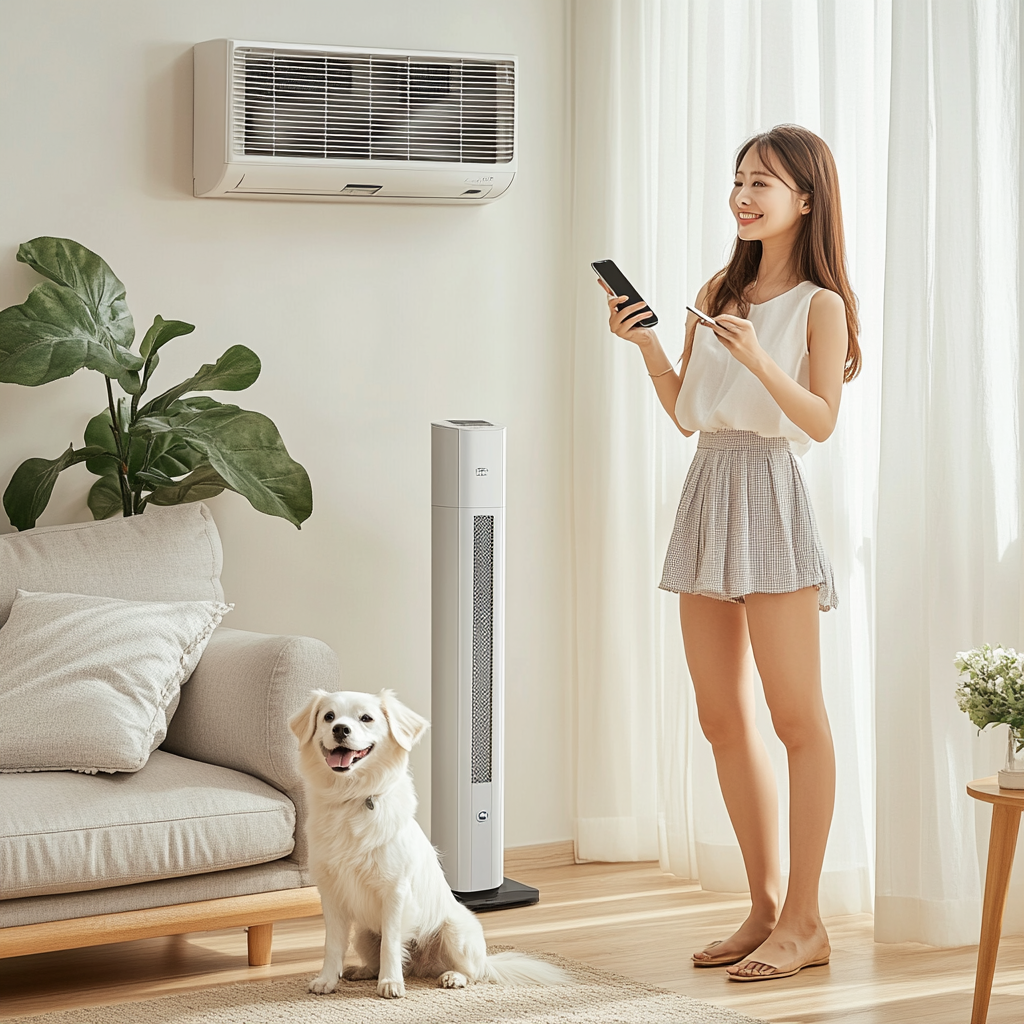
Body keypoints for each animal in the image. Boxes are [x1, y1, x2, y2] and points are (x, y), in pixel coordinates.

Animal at [290, 688, 569, 999]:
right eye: (329, 717)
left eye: (366, 718)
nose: (340, 729)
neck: (351, 798)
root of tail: (421, 966)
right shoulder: (331, 892)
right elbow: (333, 944)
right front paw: (327, 980)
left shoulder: (394, 890)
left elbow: (391, 943)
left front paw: (391, 984)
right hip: (364, 933)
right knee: (380, 960)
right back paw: (361, 971)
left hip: (455, 932)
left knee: (473, 973)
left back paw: (451, 977)